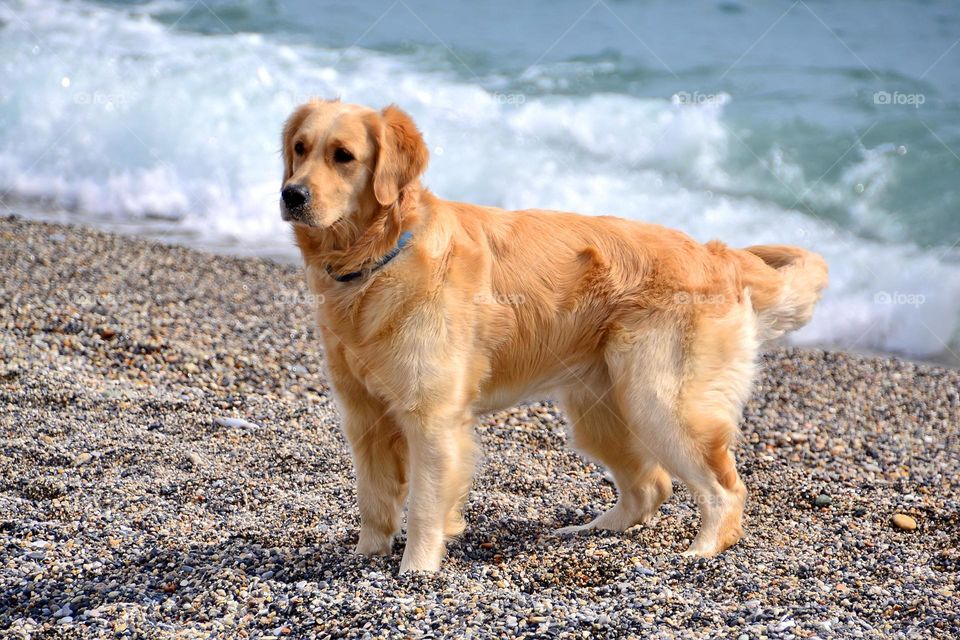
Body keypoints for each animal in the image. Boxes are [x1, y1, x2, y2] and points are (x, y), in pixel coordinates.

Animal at [278, 101, 824, 576]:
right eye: (300, 149)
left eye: (343, 156)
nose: (291, 195)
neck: (378, 258)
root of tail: (717, 254)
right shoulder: (363, 415)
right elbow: (373, 499)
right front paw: (365, 557)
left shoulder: (431, 417)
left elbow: (425, 506)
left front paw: (416, 571)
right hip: (599, 409)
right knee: (650, 486)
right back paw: (591, 531)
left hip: (659, 400)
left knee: (723, 489)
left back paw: (702, 551)